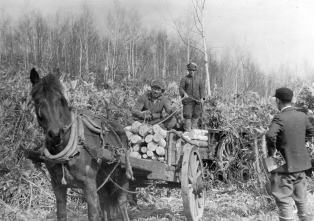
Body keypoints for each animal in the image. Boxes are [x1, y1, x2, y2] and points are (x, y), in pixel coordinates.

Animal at [27, 68, 133, 221]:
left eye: (60, 99)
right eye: (37, 101)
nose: (55, 135)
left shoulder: (89, 185)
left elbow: (93, 215)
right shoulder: (58, 186)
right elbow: (61, 214)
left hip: (122, 176)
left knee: (122, 203)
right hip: (103, 180)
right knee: (106, 204)